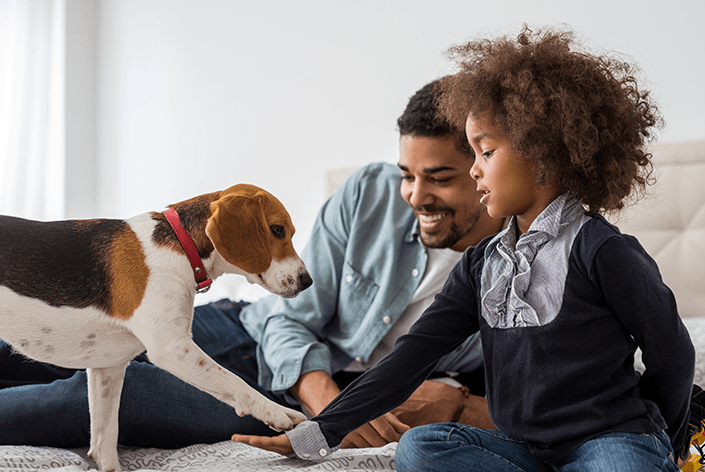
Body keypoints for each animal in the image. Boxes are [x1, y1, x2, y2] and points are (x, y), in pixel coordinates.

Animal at [0, 184, 310, 472]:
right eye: (277, 230)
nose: (307, 281)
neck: (182, 244)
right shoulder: (173, 348)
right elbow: (235, 381)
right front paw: (277, 411)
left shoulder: (107, 368)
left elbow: (105, 439)